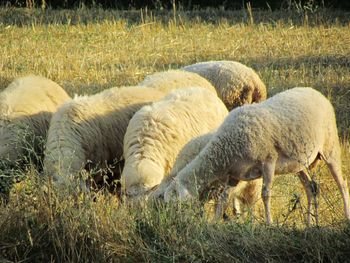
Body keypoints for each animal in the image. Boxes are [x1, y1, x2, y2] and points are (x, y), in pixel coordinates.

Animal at [164, 87, 350, 226]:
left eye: (175, 204)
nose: (173, 223)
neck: (224, 147)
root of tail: (315, 92)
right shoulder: (235, 175)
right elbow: (224, 198)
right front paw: (214, 223)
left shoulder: (268, 160)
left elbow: (265, 194)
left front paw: (269, 223)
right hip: (299, 163)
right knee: (310, 187)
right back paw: (311, 223)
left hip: (330, 147)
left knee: (341, 183)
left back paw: (346, 216)